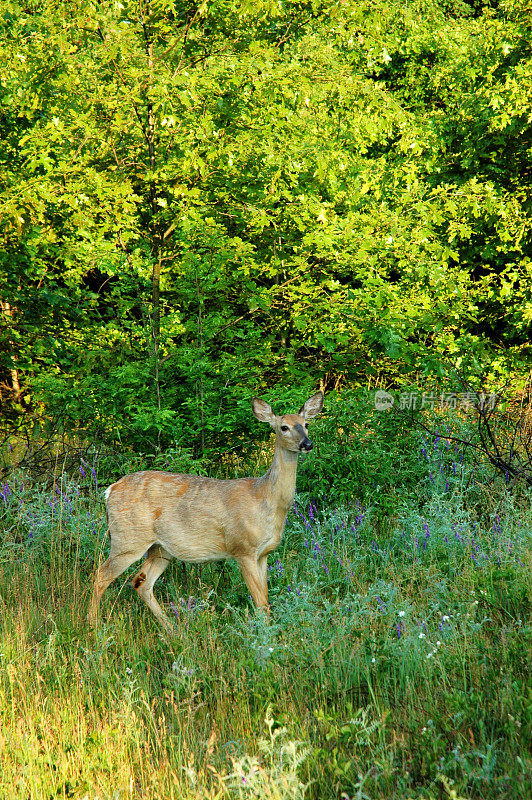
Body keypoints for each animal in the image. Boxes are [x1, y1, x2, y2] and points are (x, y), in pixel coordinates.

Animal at [88, 390, 322, 636]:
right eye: (283, 427)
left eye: (306, 424)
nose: (307, 443)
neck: (265, 499)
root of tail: (109, 490)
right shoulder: (242, 548)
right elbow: (260, 603)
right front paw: (265, 637)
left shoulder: (264, 554)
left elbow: (265, 600)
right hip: (128, 539)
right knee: (100, 576)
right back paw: (93, 625)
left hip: (161, 548)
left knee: (141, 582)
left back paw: (173, 629)